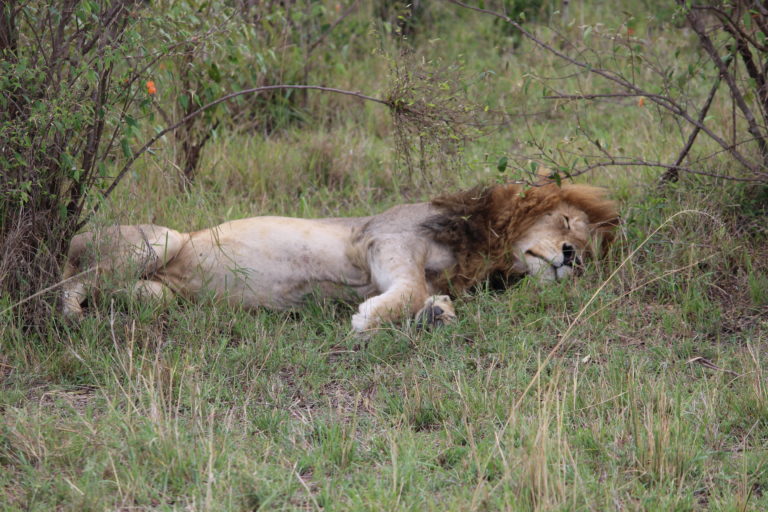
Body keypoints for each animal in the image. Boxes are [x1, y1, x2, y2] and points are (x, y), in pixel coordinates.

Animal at [63, 183, 620, 332]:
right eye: (566, 223)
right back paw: (71, 316)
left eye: (590, 253)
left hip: (158, 293)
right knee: (67, 282)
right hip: (157, 240)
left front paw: (437, 315)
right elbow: (409, 287)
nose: (571, 257)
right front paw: (369, 318)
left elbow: (429, 295)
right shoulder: (385, 241)